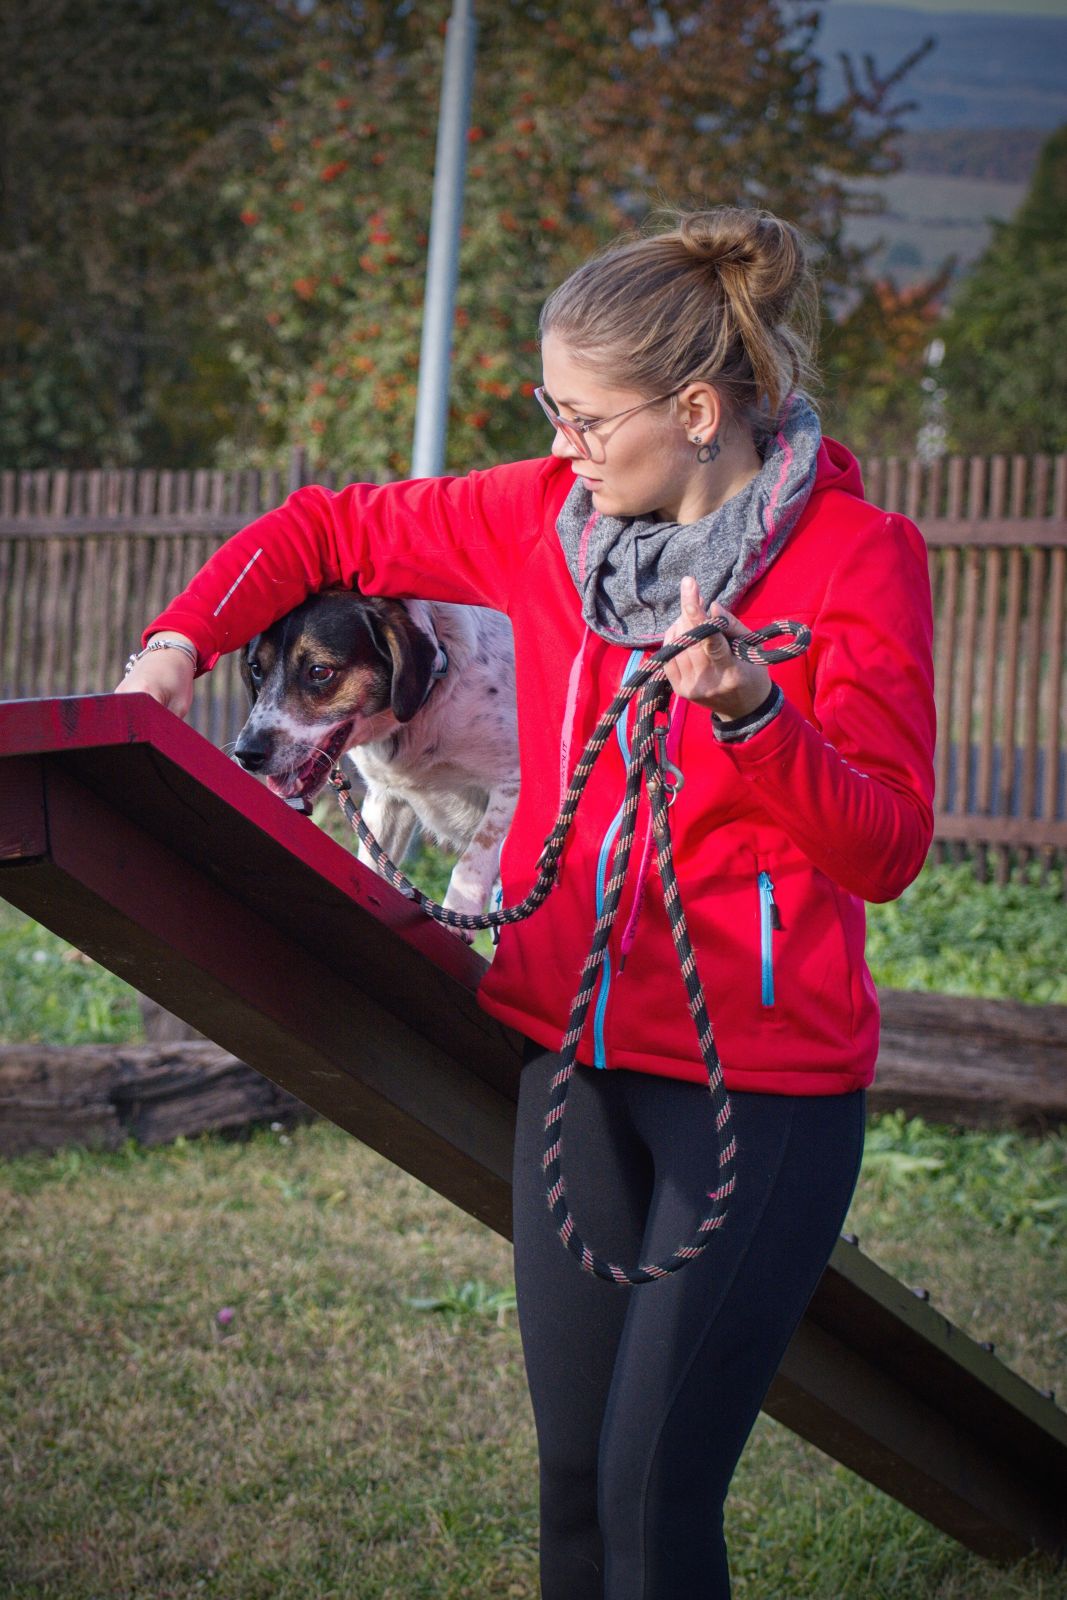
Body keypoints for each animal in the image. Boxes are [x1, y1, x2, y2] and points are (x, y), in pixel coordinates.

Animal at [233, 590, 519, 921]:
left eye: (319, 672)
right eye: (256, 669)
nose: (246, 753)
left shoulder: (514, 788)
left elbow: (471, 862)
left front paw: (457, 918)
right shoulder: (386, 798)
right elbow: (372, 868)